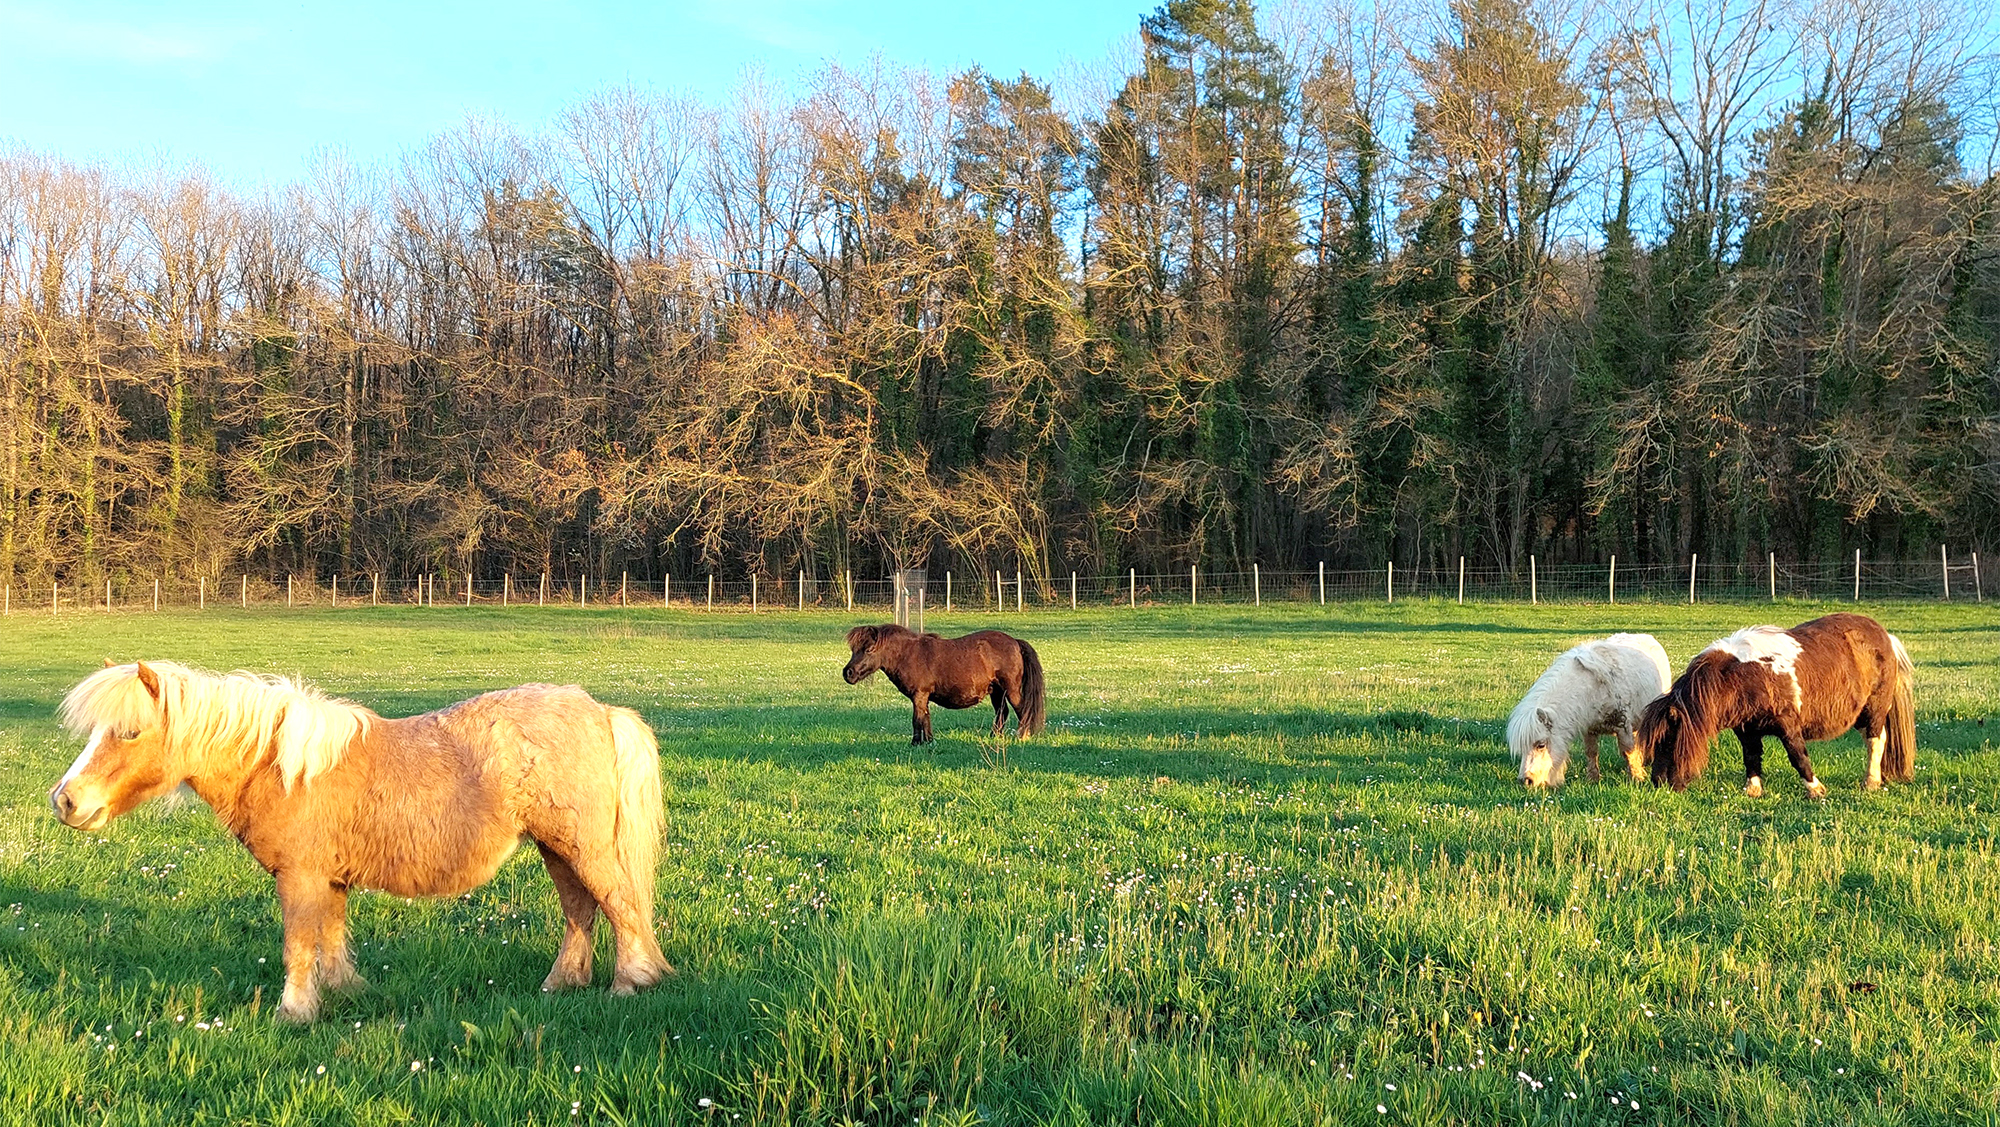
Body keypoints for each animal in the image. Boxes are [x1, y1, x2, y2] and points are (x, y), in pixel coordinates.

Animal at [47, 659, 668, 1023]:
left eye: (129, 731)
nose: (65, 800)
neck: (280, 767)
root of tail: (599, 710)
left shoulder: (298, 877)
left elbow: (299, 943)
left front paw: (295, 1012)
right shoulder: (330, 878)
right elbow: (332, 937)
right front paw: (346, 993)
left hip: (583, 846)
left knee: (620, 904)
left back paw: (630, 983)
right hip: (556, 848)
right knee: (580, 910)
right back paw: (562, 984)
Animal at [844, 619, 1048, 743]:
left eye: (868, 649)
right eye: (854, 649)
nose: (848, 673)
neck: (909, 654)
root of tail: (1015, 641)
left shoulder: (919, 695)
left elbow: (917, 720)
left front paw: (915, 743)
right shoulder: (923, 697)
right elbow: (925, 719)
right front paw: (928, 742)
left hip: (1011, 690)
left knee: (1022, 711)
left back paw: (1022, 737)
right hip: (997, 692)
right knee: (1002, 713)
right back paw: (993, 737)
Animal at [1504, 631, 1672, 787]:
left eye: (1541, 745)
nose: (1526, 781)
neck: (1592, 689)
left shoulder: (1623, 725)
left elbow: (1627, 751)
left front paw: (1636, 778)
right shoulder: (1589, 729)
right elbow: (1591, 753)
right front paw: (1593, 779)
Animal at [1640, 611, 1920, 795]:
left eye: (1667, 740)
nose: (1657, 782)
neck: (1743, 676)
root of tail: (1885, 636)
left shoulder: (1788, 726)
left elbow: (1798, 756)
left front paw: (1815, 789)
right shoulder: (1746, 730)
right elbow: (1751, 757)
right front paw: (1753, 790)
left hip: (1873, 709)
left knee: (1876, 741)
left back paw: (1871, 781)